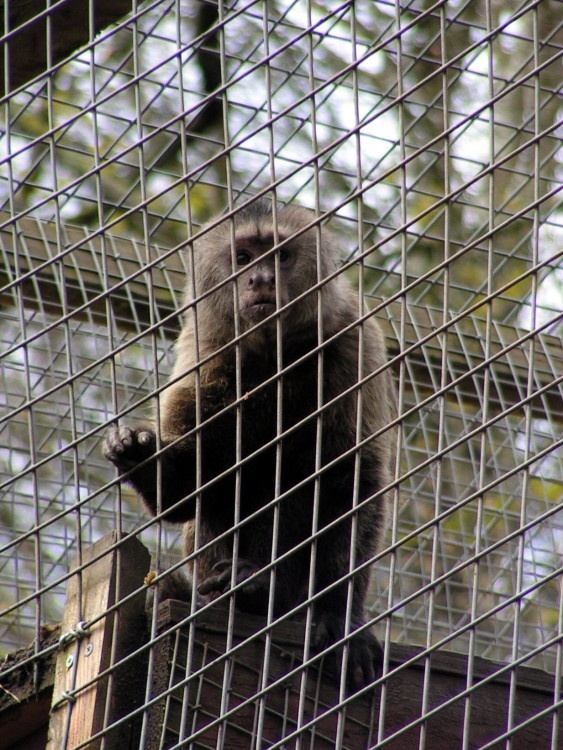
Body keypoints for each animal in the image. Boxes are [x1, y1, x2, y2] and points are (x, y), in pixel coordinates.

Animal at [103, 198, 396, 689]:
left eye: (279, 256)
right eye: (243, 259)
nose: (260, 279)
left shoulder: (350, 339)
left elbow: (352, 480)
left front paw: (341, 618)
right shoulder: (207, 349)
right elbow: (183, 494)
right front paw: (139, 454)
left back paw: (265, 591)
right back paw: (244, 593)